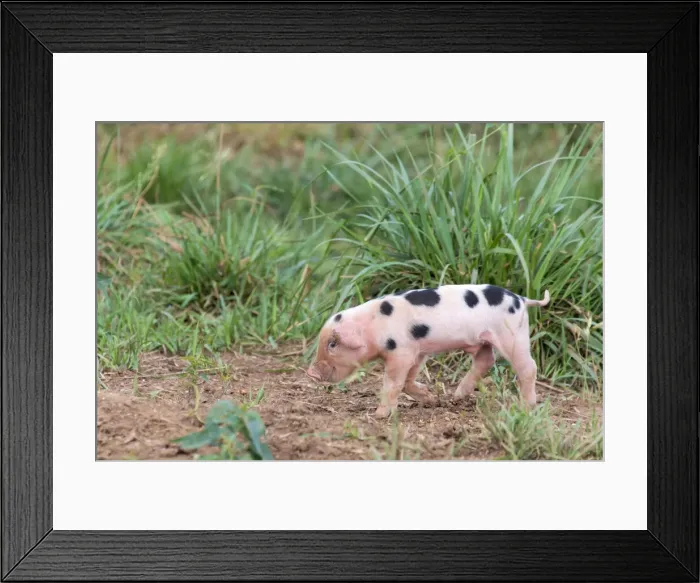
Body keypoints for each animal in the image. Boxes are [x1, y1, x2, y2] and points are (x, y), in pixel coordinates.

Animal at [306, 284, 551, 418]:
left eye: (332, 344)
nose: (310, 373)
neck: (373, 326)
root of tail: (521, 299)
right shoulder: (416, 351)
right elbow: (407, 382)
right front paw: (431, 399)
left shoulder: (401, 352)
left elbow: (392, 384)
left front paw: (379, 415)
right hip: (484, 341)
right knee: (485, 360)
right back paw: (456, 396)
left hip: (513, 335)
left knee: (528, 367)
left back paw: (526, 406)